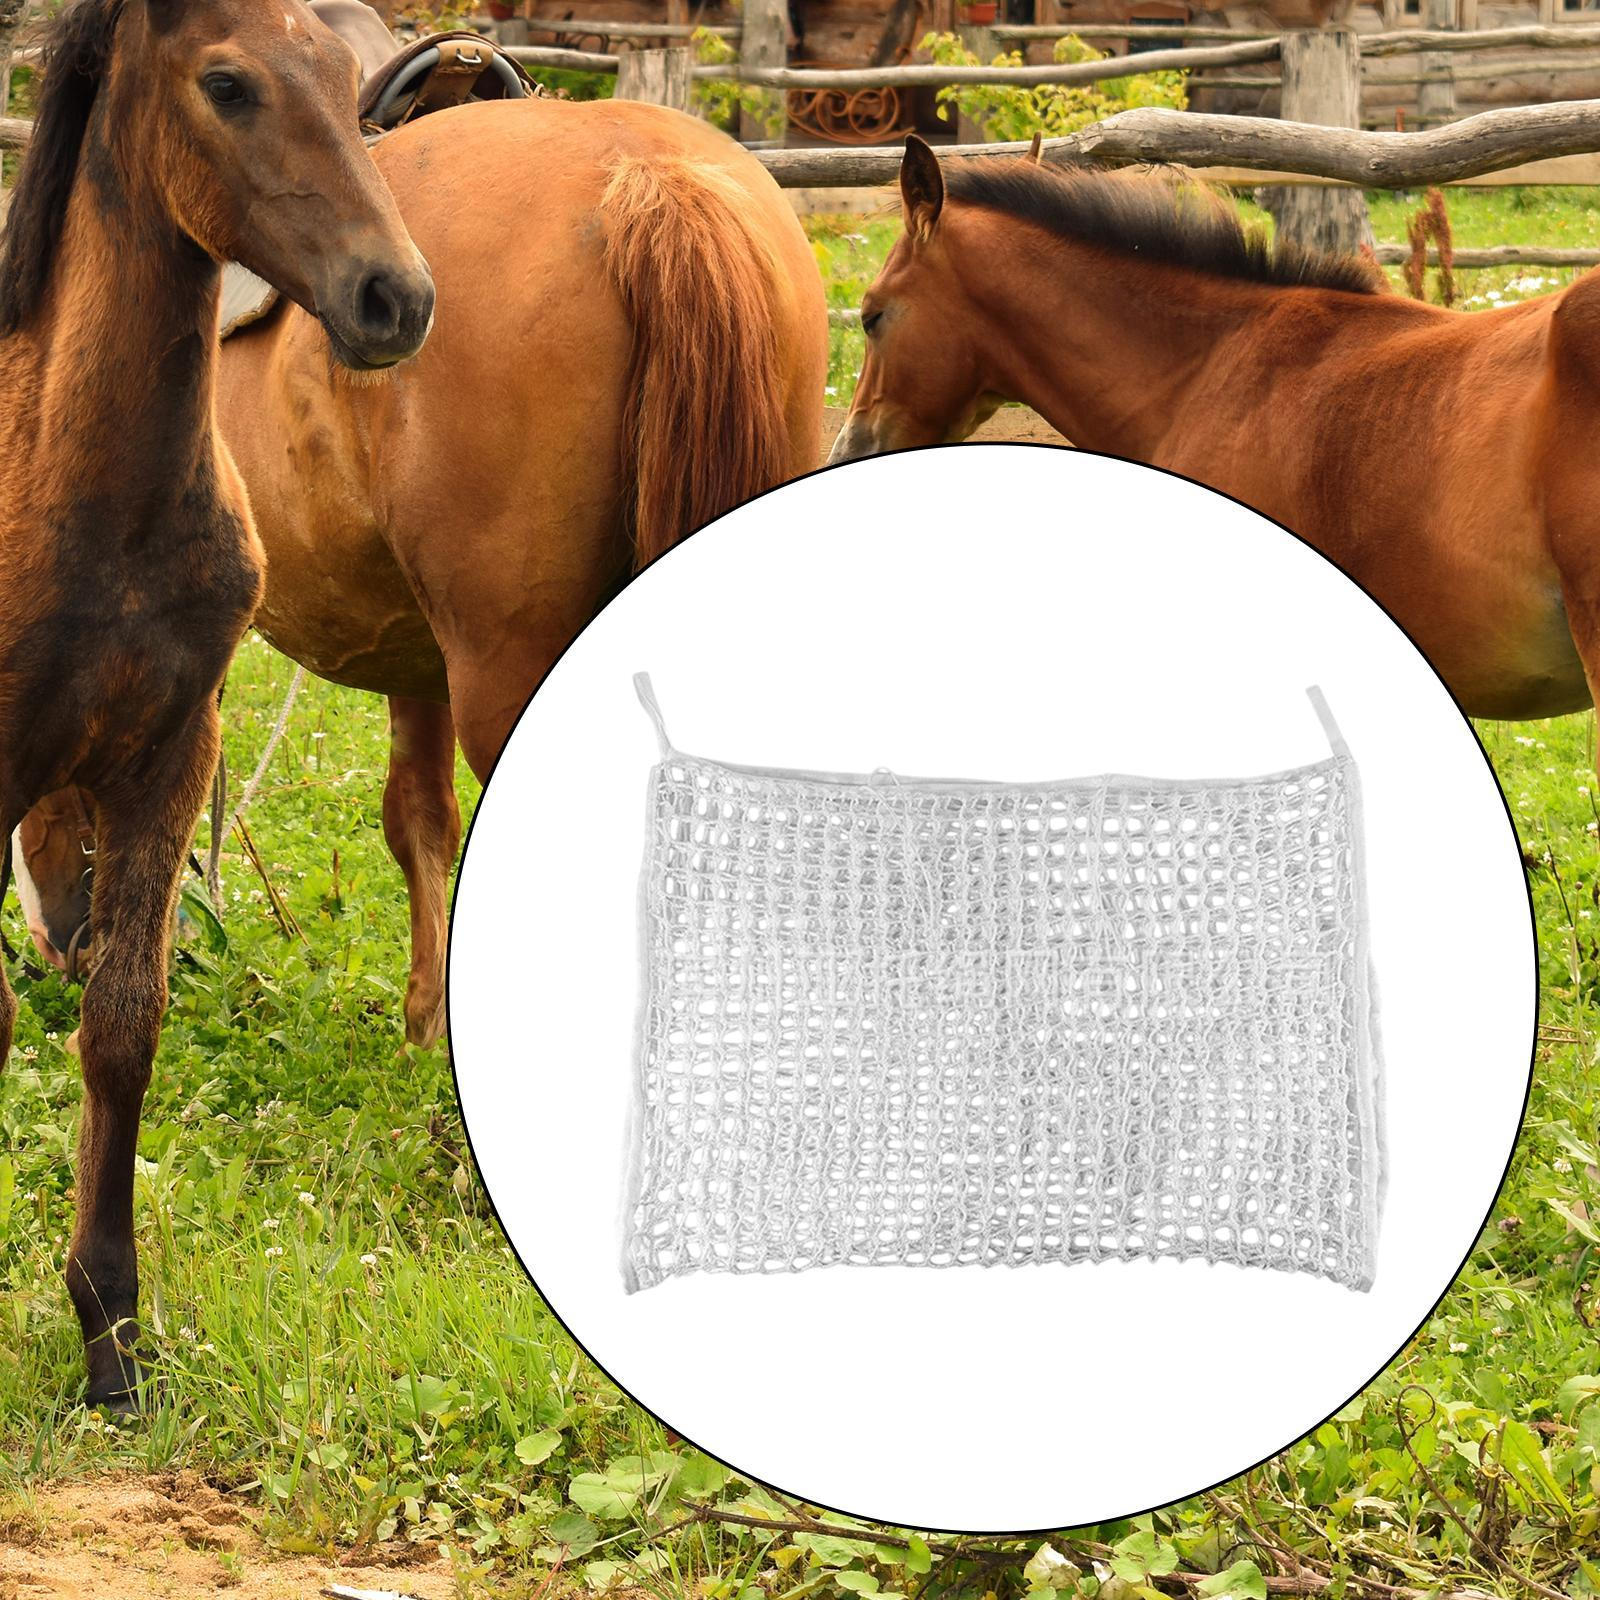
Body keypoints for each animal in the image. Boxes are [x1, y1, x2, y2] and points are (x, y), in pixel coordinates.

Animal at [0, 0, 432, 1409]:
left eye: (349, 78)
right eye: (229, 84)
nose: (395, 297)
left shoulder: (169, 759)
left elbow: (120, 1026)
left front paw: (111, 1338)